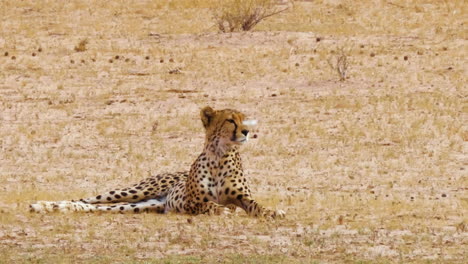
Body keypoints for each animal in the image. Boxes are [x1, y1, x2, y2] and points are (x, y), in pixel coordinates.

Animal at [31, 105, 286, 219]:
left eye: (244, 120)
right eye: (231, 120)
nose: (246, 132)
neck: (221, 155)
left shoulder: (243, 198)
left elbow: (256, 205)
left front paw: (273, 211)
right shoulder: (191, 202)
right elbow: (208, 205)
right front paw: (221, 209)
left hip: (141, 204)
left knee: (93, 207)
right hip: (133, 191)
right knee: (86, 200)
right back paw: (44, 205)